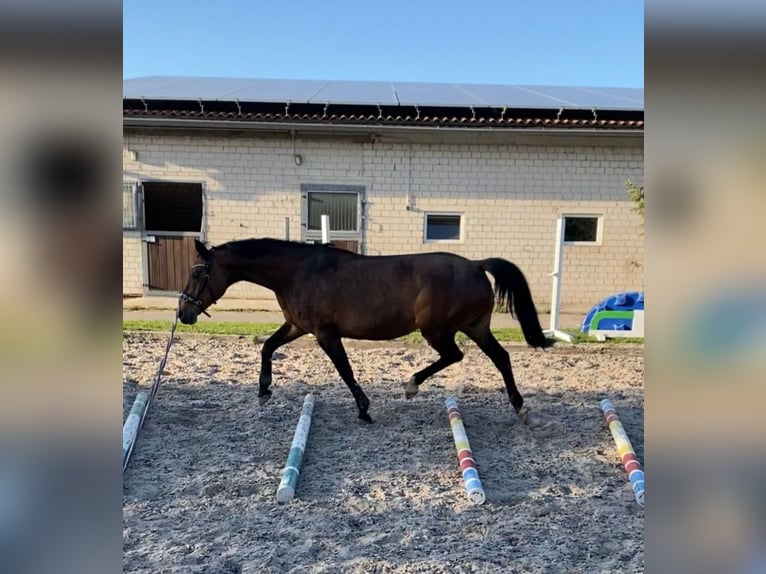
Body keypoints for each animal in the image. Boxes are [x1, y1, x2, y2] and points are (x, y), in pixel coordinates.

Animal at [178, 238, 552, 425]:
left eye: (196, 273)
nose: (183, 313)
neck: (297, 271)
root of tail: (476, 265)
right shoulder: (298, 326)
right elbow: (267, 347)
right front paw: (263, 390)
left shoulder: (325, 334)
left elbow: (345, 371)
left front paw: (364, 409)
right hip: (474, 327)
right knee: (501, 358)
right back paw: (520, 408)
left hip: (438, 330)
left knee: (456, 355)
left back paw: (412, 385)